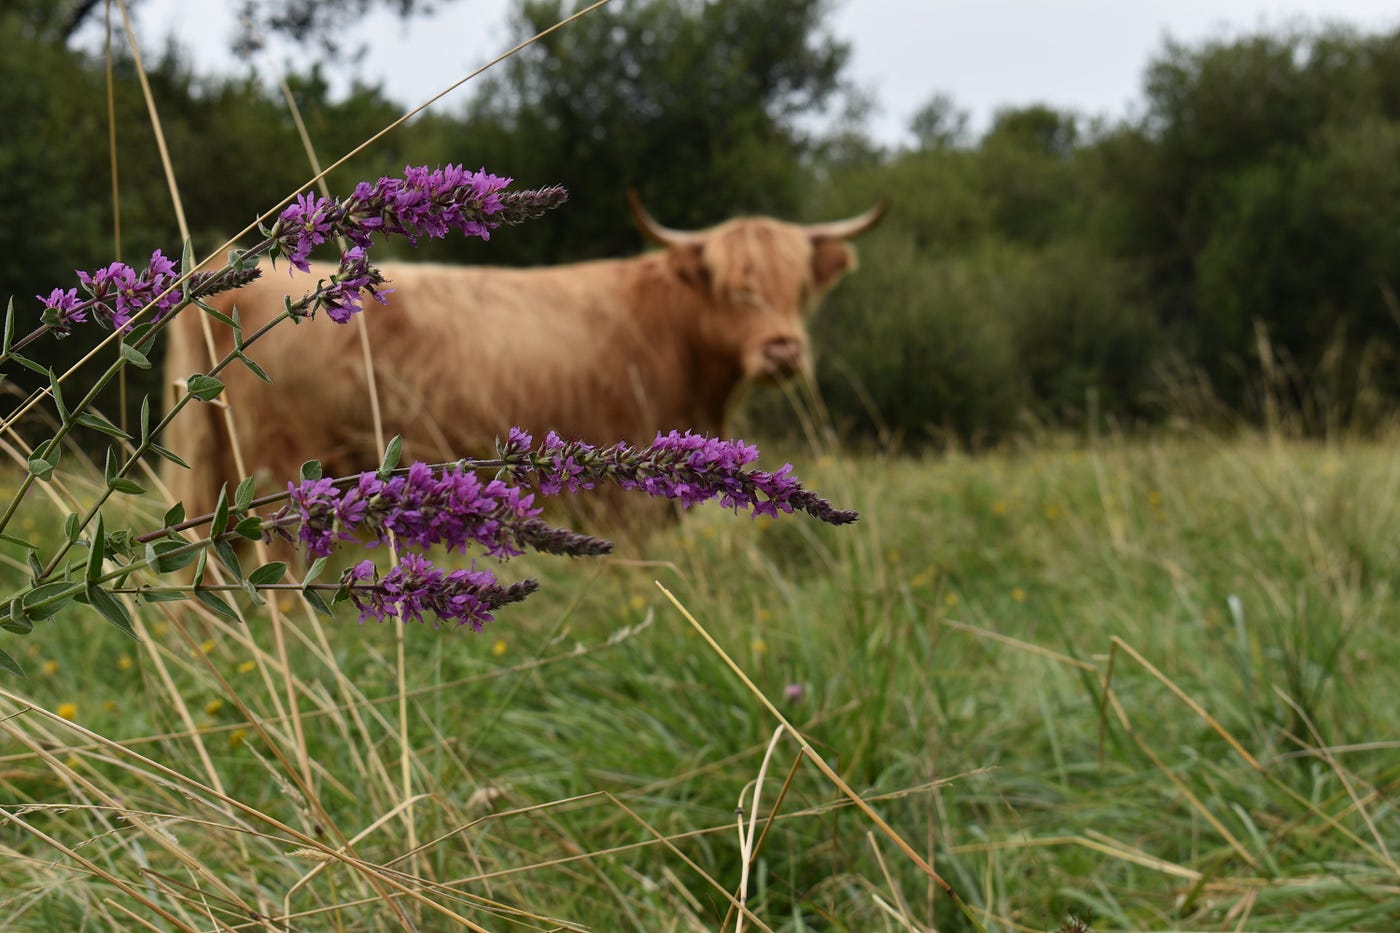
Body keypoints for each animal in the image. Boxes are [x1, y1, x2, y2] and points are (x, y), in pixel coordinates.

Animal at [160, 193, 886, 533]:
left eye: (801, 286)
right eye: (736, 287)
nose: (783, 349)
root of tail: (216, 273)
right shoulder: (622, 505)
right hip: (281, 463)